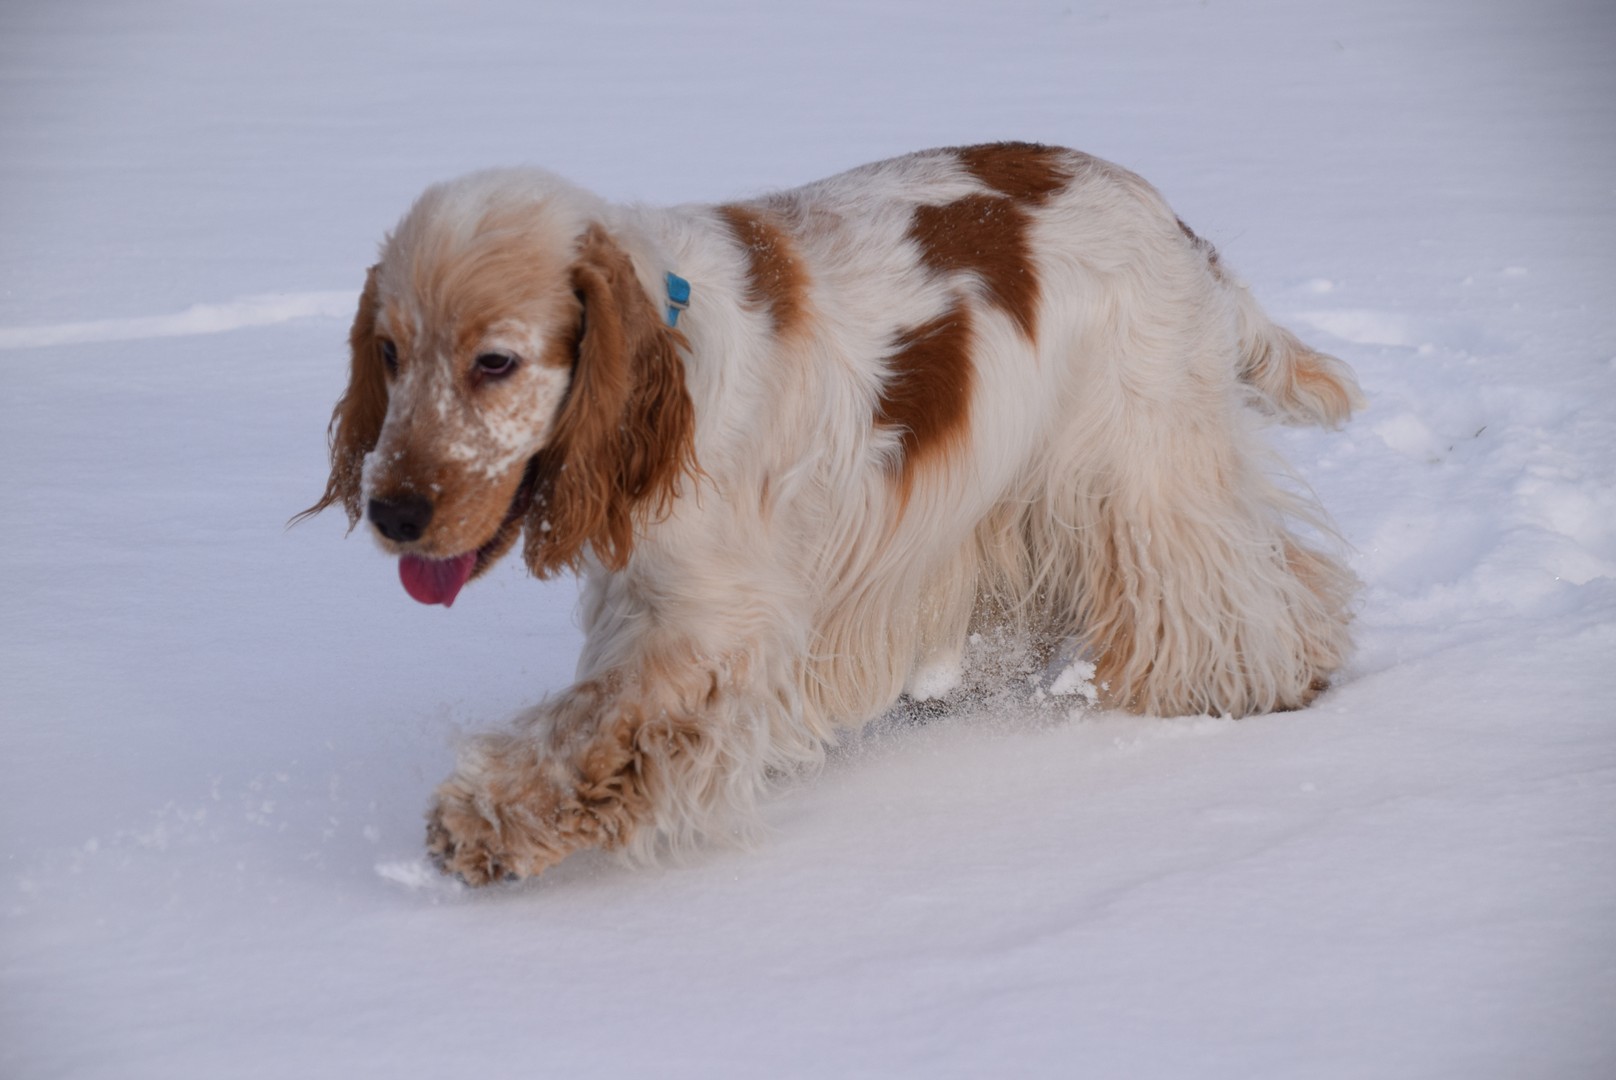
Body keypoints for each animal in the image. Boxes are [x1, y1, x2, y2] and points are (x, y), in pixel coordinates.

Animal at [301, 143, 1362, 884]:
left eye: (496, 362)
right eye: (389, 352)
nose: (392, 509)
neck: (669, 360)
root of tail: (1175, 221)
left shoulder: (710, 624)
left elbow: (592, 726)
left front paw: (480, 824)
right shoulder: (652, 592)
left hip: (1142, 468)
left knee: (1237, 597)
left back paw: (1268, 684)